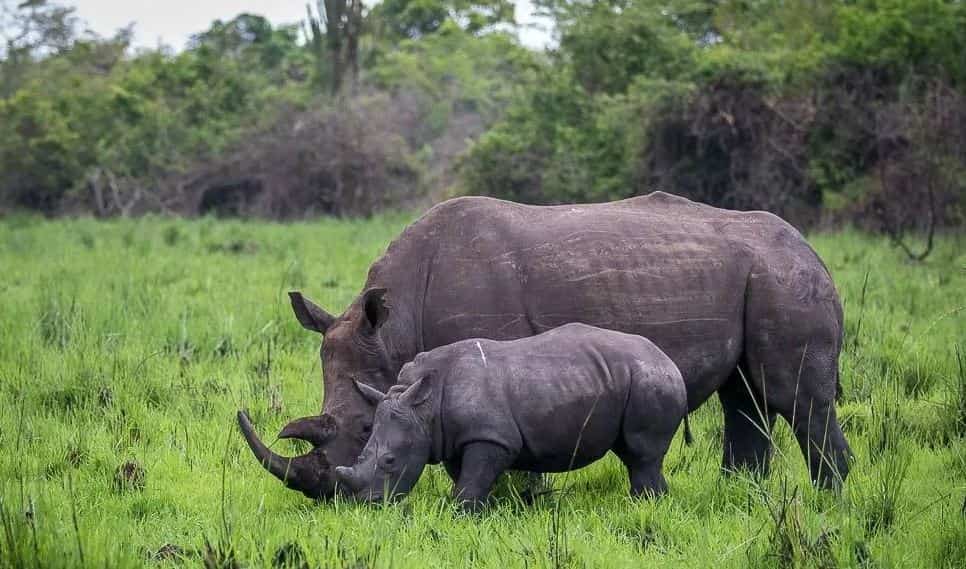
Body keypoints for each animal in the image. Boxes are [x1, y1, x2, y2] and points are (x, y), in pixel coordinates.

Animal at [336, 322, 692, 508]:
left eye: (390, 461)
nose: (368, 504)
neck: (423, 407)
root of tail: (667, 359)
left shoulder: (491, 437)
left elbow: (472, 479)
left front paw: (461, 513)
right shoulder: (456, 437)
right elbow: (467, 477)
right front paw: (480, 510)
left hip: (650, 379)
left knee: (642, 453)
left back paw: (645, 505)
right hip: (633, 377)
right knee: (631, 453)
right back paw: (644, 504)